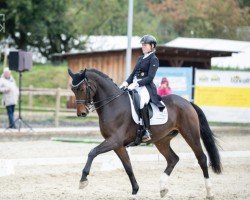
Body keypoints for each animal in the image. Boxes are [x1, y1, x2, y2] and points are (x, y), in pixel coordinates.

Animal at [68, 68, 221, 198]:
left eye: (82, 88)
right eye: (73, 89)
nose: (81, 113)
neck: (113, 104)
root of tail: (188, 103)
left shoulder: (115, 141)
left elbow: (92, 152)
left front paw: (83, 180)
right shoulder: (118, 145)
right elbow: (128, 167)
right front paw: (135, 191)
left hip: (190, 134)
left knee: (202, 158)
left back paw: (209, 193)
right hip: (162, 140)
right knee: (173, 159)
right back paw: (162, 188)